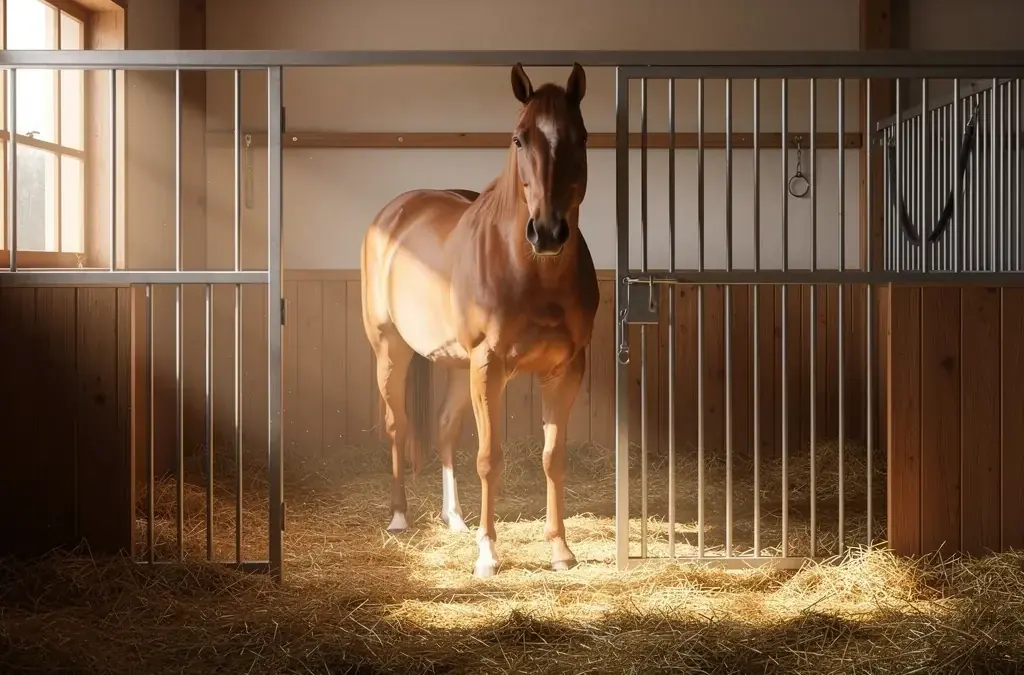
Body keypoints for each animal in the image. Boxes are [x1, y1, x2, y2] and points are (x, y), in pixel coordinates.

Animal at [360, 62, 599, 578]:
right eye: (518, 139)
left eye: (582, 137)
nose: (547, 232)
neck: (531, 270)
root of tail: (395, 211)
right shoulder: (489, 365)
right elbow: (490, 459)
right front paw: (488, 554)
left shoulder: (566, 369)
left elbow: (553, 458)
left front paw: (560, 549)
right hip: (391, 350)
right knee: (397, 425)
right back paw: (399, 516)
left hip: (455, 365)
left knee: (446, 426)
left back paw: (453, 518)